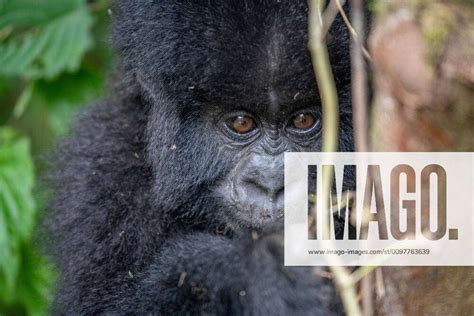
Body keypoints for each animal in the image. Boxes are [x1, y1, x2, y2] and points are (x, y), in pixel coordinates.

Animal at [51, 0, 354, 314]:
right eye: (241, 123)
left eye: (303, 120)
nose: (271, 184)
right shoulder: (102, 165)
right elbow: (103, 304)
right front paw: (258, 272)